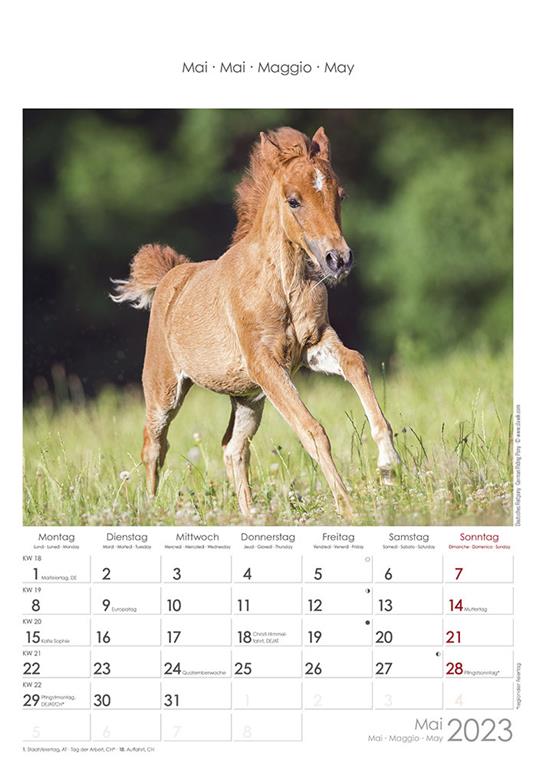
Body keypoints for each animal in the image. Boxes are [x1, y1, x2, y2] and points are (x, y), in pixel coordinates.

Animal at [111, 126, 400, 520]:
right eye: (293, 200)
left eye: (340, 194)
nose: (338, 259)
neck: (282, 283)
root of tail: (170, 277)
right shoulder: (265, 363)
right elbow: (312, 431)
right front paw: (349, 508)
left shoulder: (313, 347)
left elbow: (356, 362)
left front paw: (389, 468)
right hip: (164, 390)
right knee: (154, 446)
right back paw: (153, 511)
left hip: (248, 397)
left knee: (233, 448)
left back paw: (249, 515)